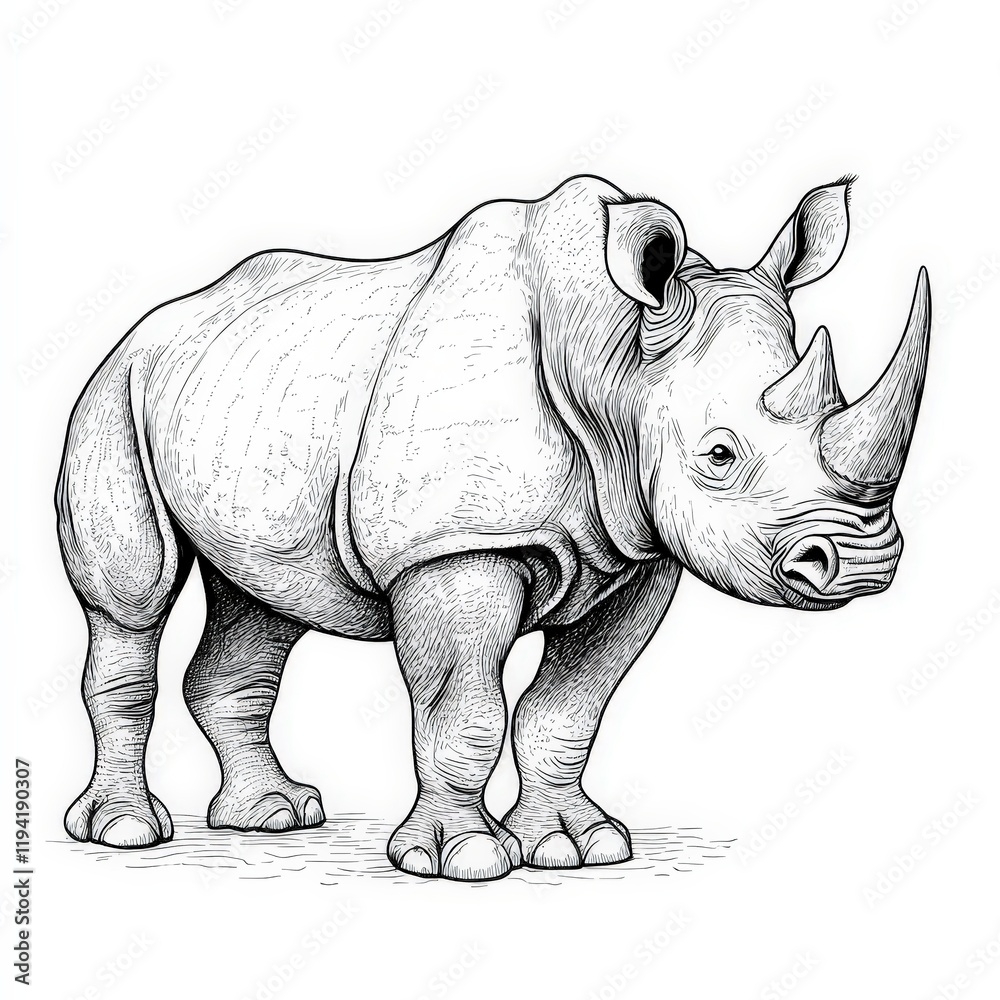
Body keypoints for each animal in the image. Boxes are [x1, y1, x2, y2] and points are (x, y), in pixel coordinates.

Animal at [57, 174, 930, 881]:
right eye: (719, 454)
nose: (860, 562)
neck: (614, 360)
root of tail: (154, 323)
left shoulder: (637, 553)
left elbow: (569, 711)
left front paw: (579, 847)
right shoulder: (455, 547)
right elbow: (464, 708)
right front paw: (463, 859)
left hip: (245, 410)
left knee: (263, 600)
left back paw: (273, 817)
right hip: (114, 389)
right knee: (130, 601)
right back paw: (128, 832)